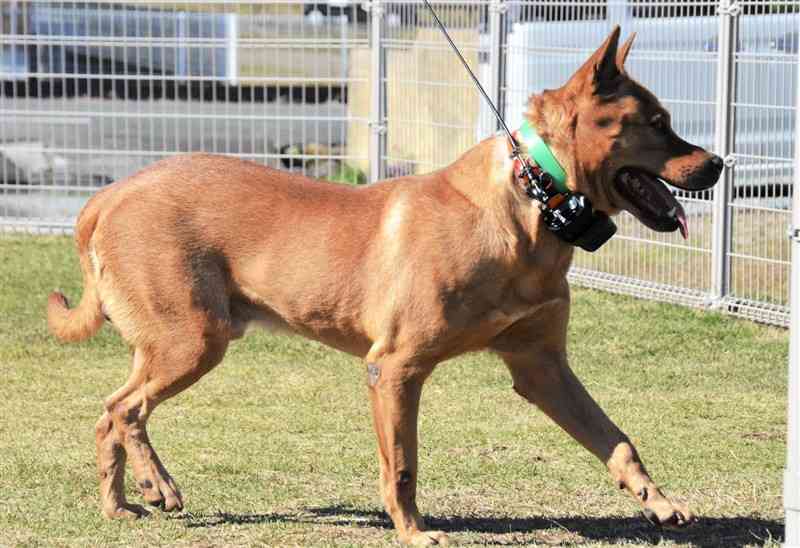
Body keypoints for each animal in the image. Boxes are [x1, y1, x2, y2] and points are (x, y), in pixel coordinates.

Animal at [51, 27, 724, 544]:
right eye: (657, 122)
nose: (719, 164)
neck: (536, 198)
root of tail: (112, 193)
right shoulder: (395, 369)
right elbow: (402, 465)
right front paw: (415, 532)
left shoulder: (543, 368)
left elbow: (617, 441)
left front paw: (659, 502)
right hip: (193, 339)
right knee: (124, 409)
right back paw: (157, 484)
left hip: (170, 343)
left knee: (109, 415)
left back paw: (119, 505)